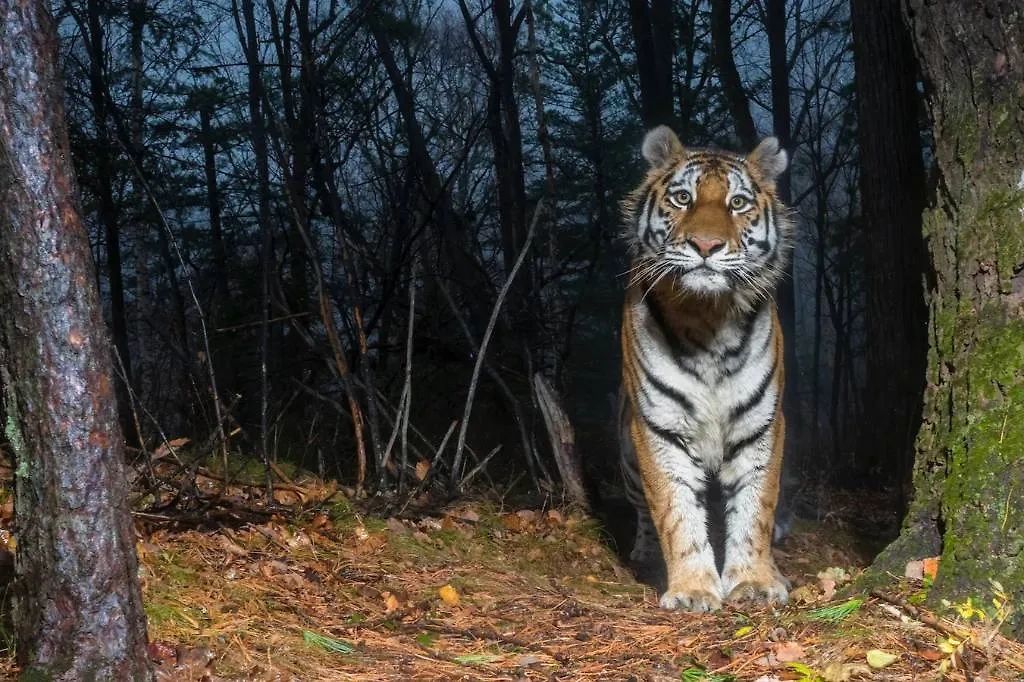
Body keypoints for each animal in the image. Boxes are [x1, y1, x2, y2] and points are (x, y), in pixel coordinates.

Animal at [614, 124, 790, 606]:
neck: (708, 316)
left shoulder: (761, 424)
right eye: (682, 198)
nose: (707, 245)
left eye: (738, 203)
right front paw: (692, 588)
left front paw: (755, 581)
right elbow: (675, 512)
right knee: (641, 508)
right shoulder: (658, 427)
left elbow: (755, 508)